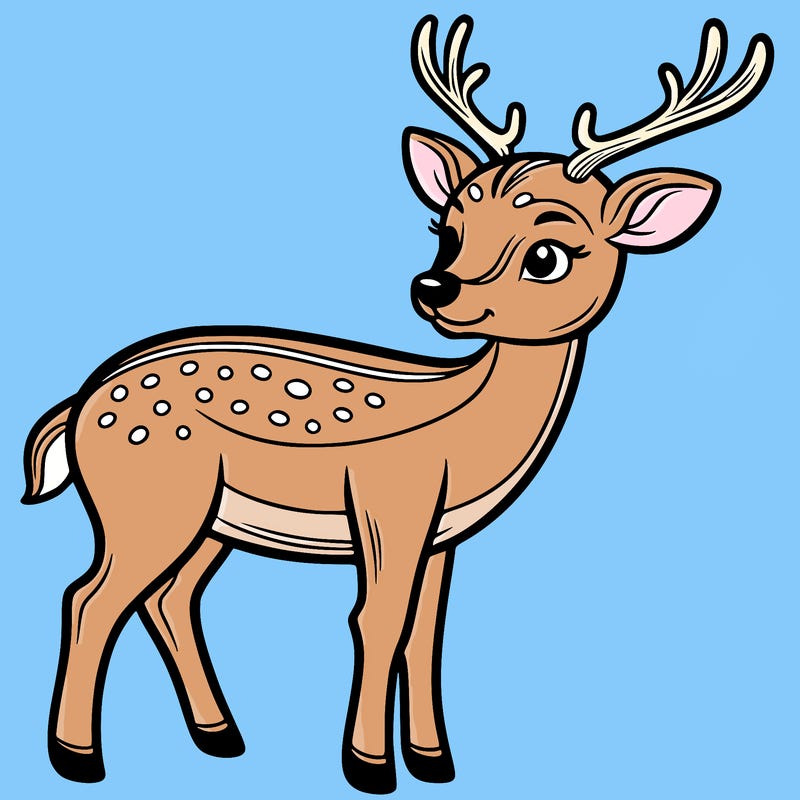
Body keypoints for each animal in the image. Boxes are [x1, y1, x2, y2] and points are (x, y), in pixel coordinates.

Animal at [22, 14, 772, 795]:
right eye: (448, 226)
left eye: (548, 254)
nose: (434, 288)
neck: (466, 430)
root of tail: (80, 403)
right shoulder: (391, 502)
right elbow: (377, 621)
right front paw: (369, 766)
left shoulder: (443, 534)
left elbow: (426, 633)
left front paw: (435, 761)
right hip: (147, 500)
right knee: (90, 597)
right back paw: (78, 757)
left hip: (209, 521)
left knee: (169, 599)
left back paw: (221, 736)